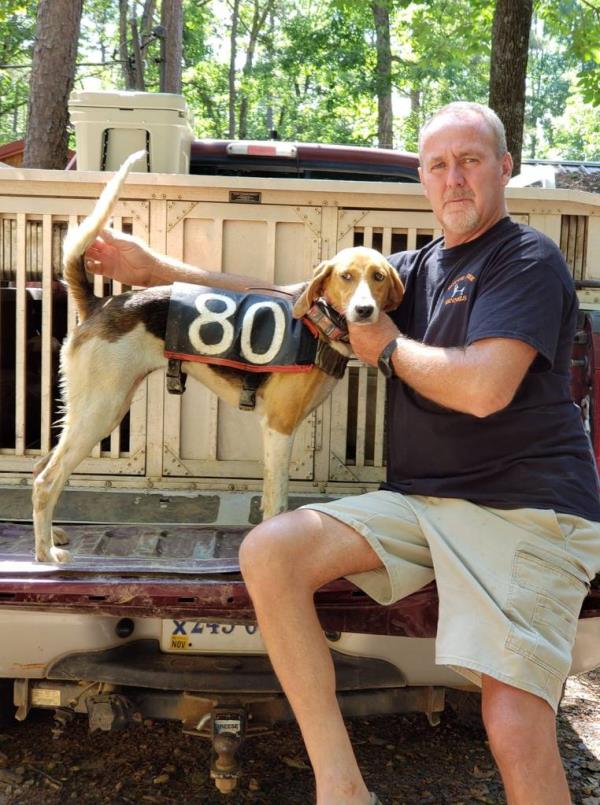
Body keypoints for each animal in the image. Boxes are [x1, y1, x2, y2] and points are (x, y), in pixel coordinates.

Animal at [29, 154, 404, 564]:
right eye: (346, 277)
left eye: (379, 277)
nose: (364, 311)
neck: (317, 322)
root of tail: (101, 302)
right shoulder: (278, 428)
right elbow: (277, 503)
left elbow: (274, 498)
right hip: (102, 409)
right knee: (46, 479)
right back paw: (45, 552)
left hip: (97, 409)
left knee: (41, 466)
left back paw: (52, 534)